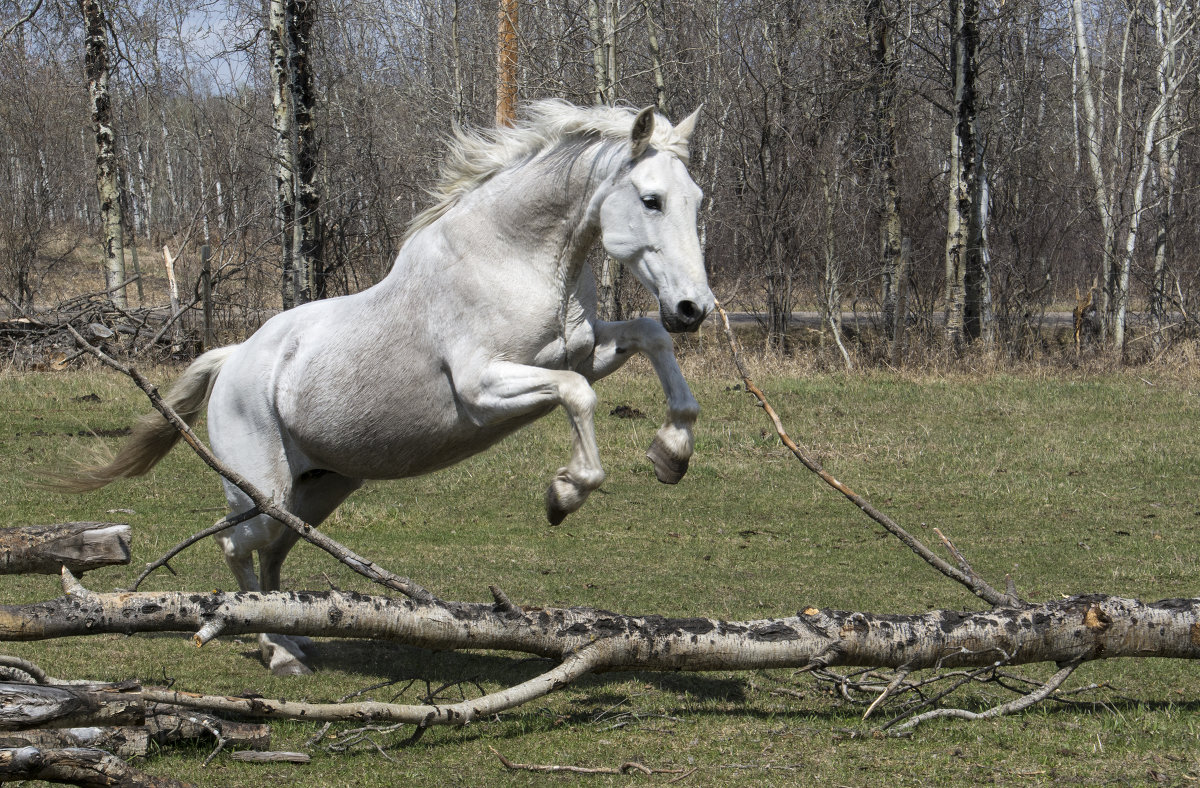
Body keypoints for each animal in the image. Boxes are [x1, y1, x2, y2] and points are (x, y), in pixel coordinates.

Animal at [63, 101, 710, 671]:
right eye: (650, 200)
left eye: (695, 200)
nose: (694, 307)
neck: (516, 260)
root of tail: (232, 360)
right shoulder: (484, 389)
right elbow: (578, 393)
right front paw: (565, 494)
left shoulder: (587, 349)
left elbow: (650, 338)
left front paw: (671, 454)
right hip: (260, 492)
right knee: (239, 549)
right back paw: (277, 652)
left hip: (316, 490)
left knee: (272, 552)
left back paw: (294, 641)